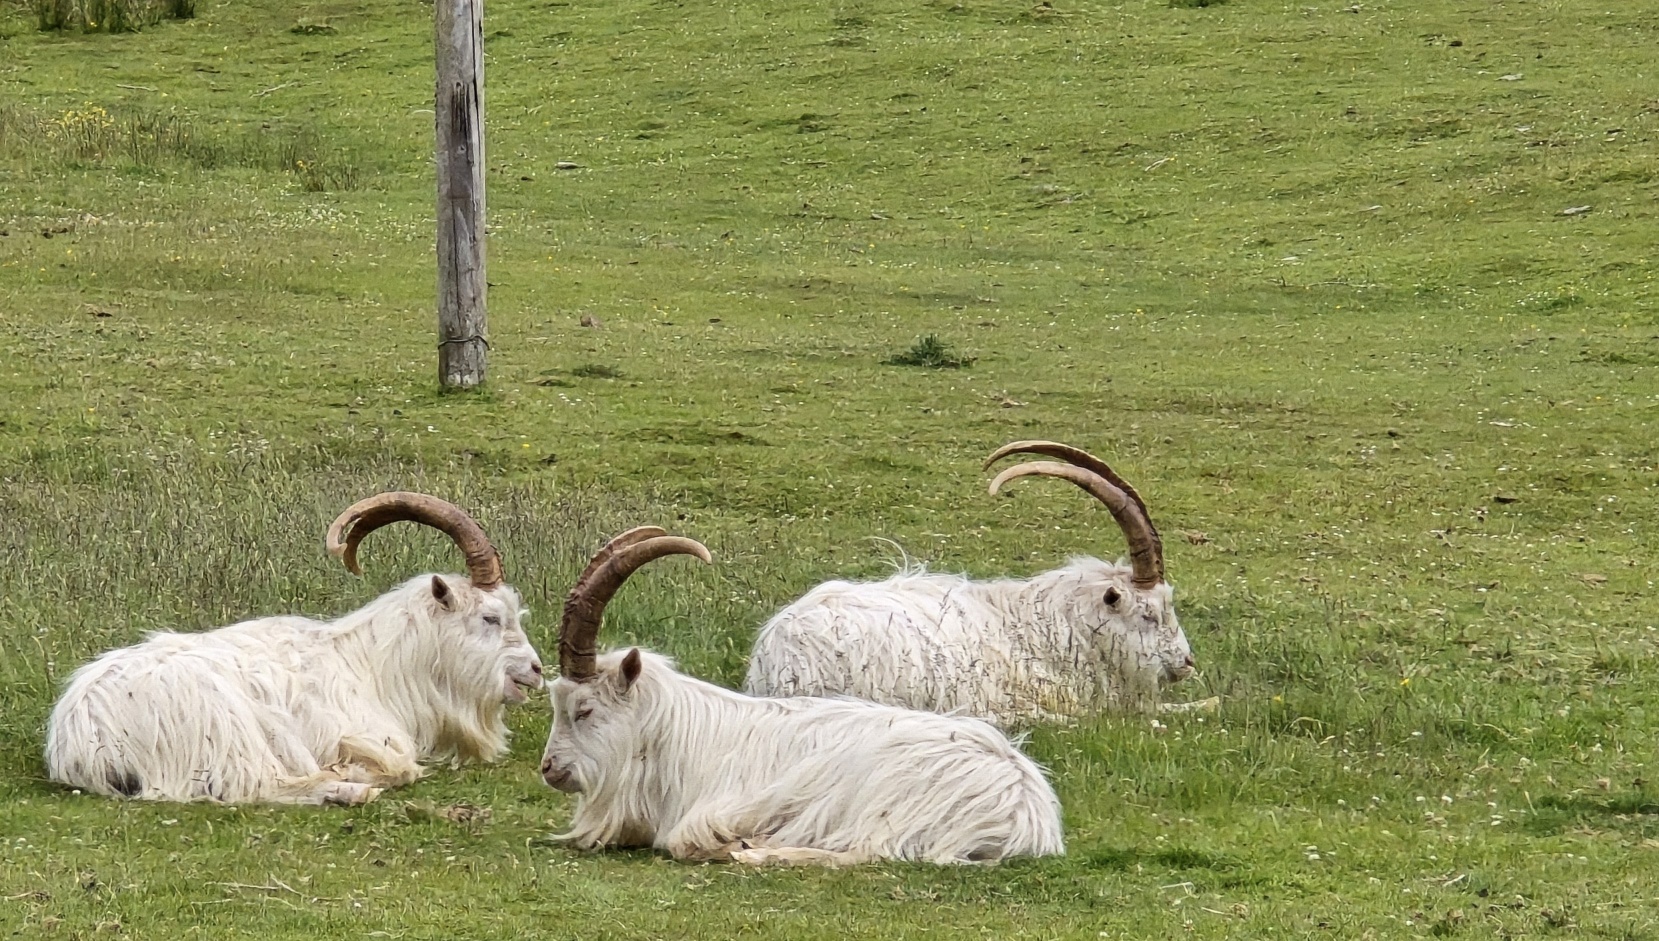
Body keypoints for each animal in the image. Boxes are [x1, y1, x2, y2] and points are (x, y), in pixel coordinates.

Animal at [45, 493, 544, 805]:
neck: (372, 668)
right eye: (490, 617)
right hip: (227, 730)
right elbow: (402, 766)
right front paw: (355, 771)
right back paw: (348, 789)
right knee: (253, 786)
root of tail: (81, 737)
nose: (536, 670)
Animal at [539, 527, 1064, 866]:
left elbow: (686, 841)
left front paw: (732, 844)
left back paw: (753, 852)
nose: (549, 769)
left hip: (891, 804)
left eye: (584, 709)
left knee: (866, 853)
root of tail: (1027, 809)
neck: (678, 738)